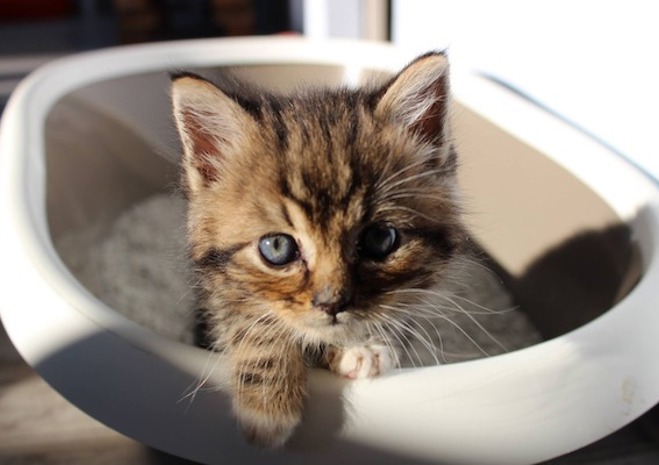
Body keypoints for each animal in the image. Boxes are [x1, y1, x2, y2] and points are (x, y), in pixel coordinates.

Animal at [171, 51, 525, 448]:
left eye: (380, 239)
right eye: (277, 247)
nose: (332, 303)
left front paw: (360, 347)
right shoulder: (216, 297)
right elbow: (248, 319)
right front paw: (267, 406)